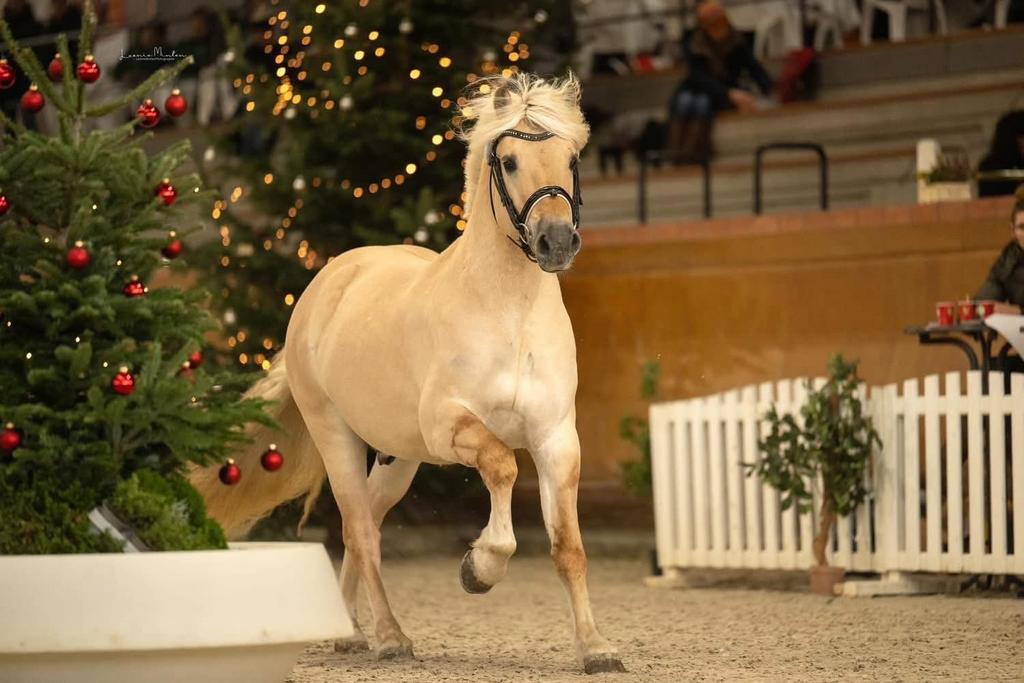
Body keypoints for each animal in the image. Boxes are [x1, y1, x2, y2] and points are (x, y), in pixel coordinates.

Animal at [191, 73, 625, 675]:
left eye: (571, 157)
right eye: (509, 160)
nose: (556, 243)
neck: (508, 314)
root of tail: (327, 282)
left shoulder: (556, 438)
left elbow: (569, 548)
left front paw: (596, 648)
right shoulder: (449, 427)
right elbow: (502, 469)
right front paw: (479, 569)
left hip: (398, 458)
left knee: (363, 527)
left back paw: (351, 632)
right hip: (337, 437)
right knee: (360, 530)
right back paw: (391, 637)